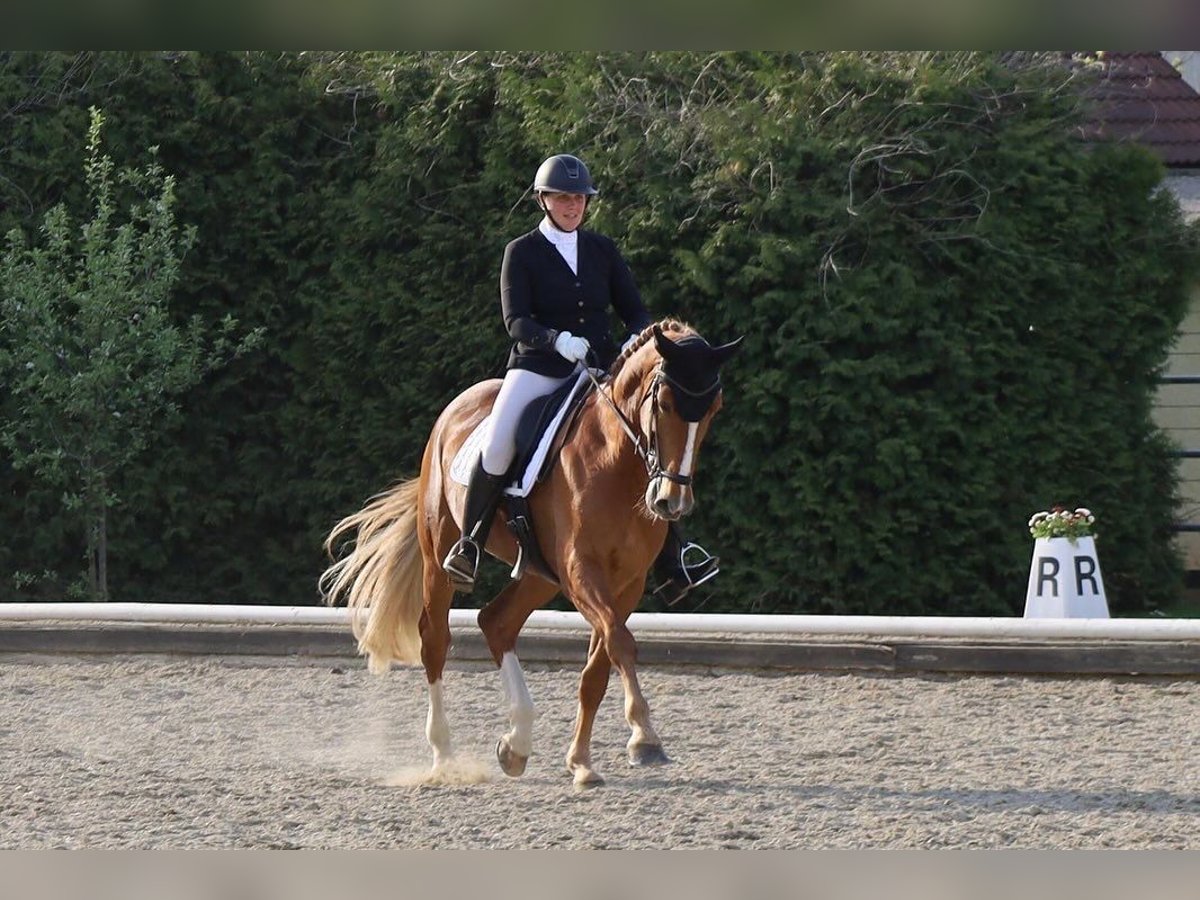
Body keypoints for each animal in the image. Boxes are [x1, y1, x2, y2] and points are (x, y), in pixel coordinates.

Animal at [324, 321, 744, 787]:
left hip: (540, 574)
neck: (616, 462)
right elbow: (620, 643)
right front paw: (644, 736)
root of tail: (454, 409)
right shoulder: (582, 571)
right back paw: (444, 755)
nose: (672, 502)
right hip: (441, 556)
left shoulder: (626, 582)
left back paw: (516, 744)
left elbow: (598, 667)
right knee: (434, 638)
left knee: (496, 622)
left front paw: (581, 761)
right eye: (665, 404)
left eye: (714, 409)